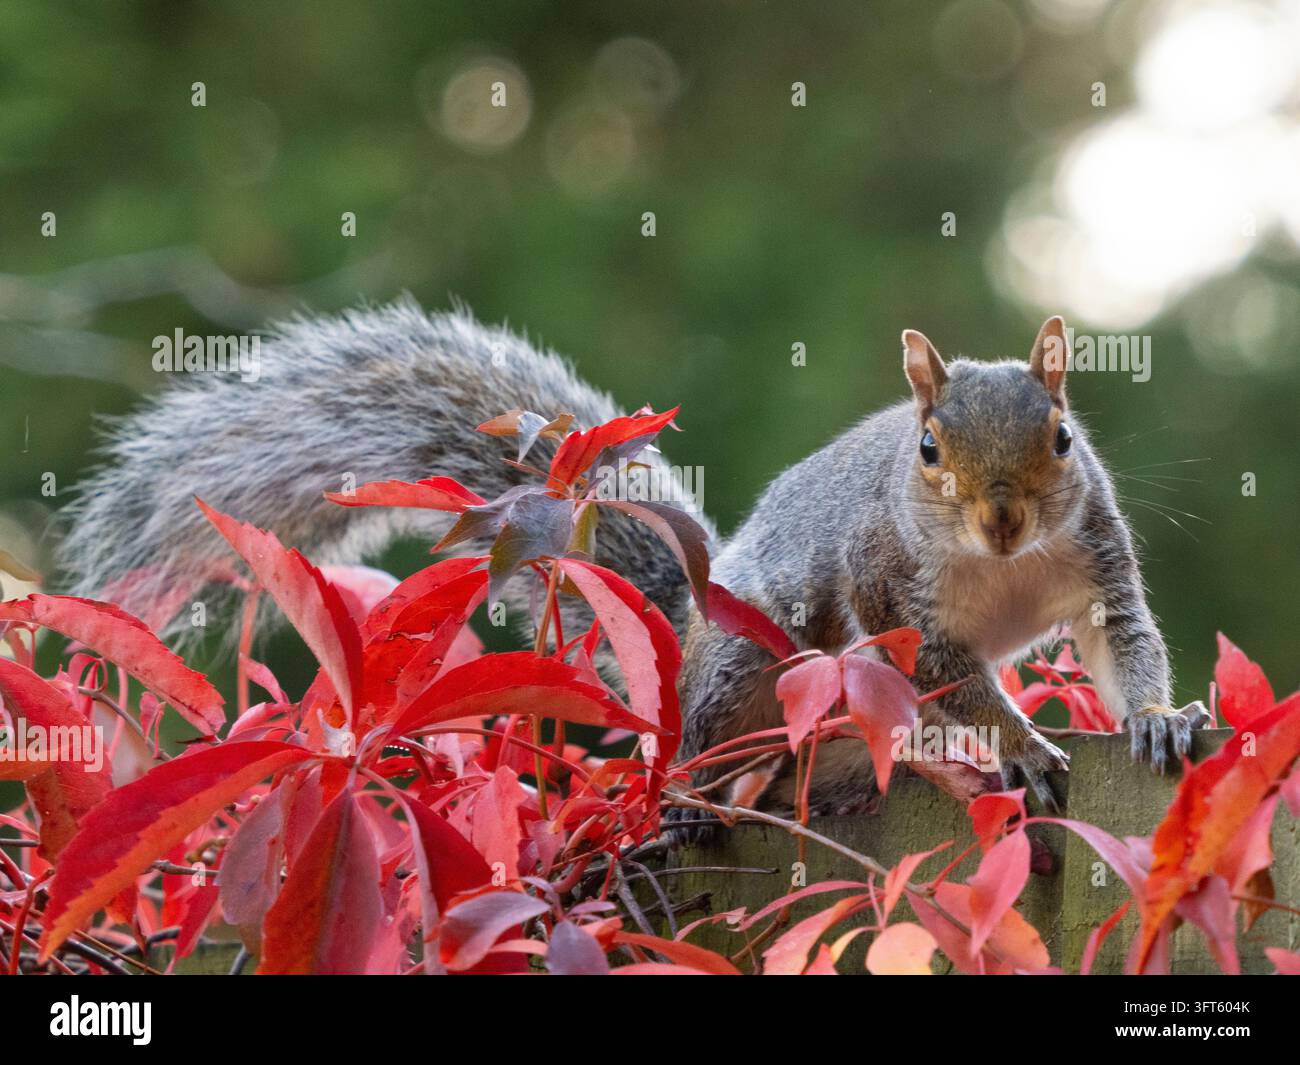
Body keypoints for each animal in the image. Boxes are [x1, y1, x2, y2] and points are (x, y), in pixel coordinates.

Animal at [58, 298, 1209, 818]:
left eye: (1061, 436)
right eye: (928, 450)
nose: (1005, 522)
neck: (1001, 567)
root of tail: (690, 626)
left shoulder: (1095, 570)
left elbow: (1124, 644)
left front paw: (1159, 717)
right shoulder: (891, 592)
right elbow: (952, 678)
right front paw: (1019, 743)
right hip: (752, 661)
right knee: (708, 748)